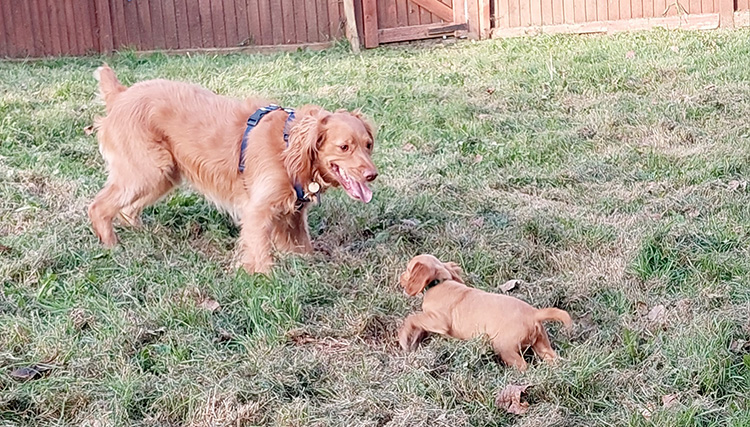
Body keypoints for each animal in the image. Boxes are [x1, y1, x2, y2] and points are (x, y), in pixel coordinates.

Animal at [90, 66, 378, 274]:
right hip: (148, 170)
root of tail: (120, 94)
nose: (372, 175)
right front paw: (265, 280)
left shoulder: (293, 216)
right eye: (344, 147)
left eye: (368, 145)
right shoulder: (258, 210)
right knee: (99, 207)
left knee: (126, 210)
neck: (287, 145)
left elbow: (302, 248)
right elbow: (260, 253)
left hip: (162, 175)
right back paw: (112, 247)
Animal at [400, 254, 568, 372]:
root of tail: (534, 314)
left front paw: (403, 338)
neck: (439, 283)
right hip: (542, 344)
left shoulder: (438, 321)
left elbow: (413, 318)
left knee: (523, 366)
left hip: (504, 347)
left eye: (408, 270)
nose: (400, 278)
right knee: (552, 358)